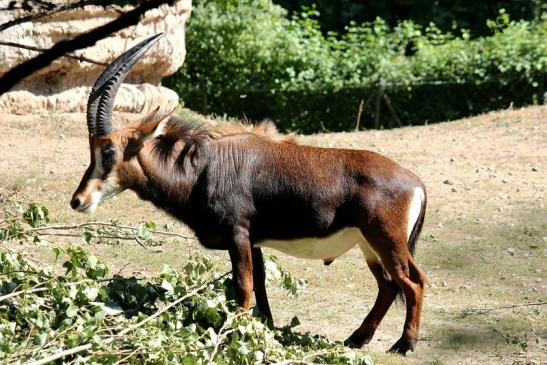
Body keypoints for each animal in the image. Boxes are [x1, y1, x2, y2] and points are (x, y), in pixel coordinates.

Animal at [71, 33, 428, 352]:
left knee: (413, 282)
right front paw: (263, 330)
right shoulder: (253, 241)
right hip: (369, 245)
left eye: (108, 153)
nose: (78, 201)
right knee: (388, 286)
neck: (202, 169)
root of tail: (416, 184)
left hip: (386, 241)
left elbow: (242, 286)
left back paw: (404, 344)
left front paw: (235, 335)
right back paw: (358, 338)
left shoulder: (238, 234)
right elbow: (262, 287)